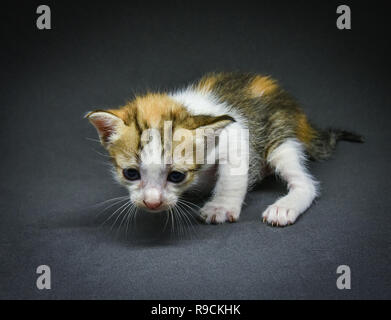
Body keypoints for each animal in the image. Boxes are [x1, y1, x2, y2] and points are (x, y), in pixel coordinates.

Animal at [86, 73, 364, 228]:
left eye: (177, 176)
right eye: (131, 173)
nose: (152, 203)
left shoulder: (236, 135)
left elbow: (232, 176)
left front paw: (220, 207)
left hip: (280, 136)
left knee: (304, 181)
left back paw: (285, 206)